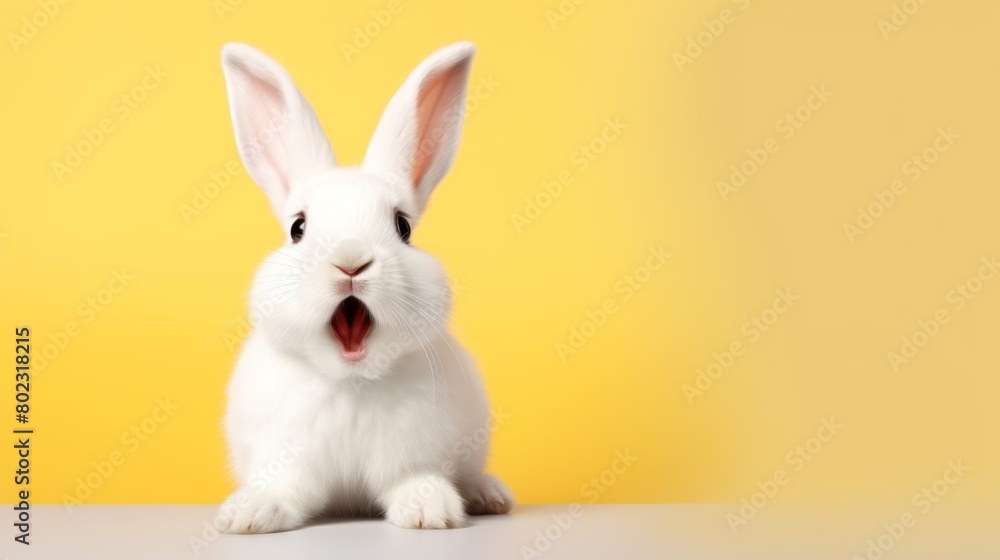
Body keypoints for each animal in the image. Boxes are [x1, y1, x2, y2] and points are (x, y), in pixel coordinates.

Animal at [214, 41, 513, 533]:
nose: (350, 259)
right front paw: (247, 515)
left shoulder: (414, 454)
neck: (350, 381)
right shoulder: (285, 456)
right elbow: (282, 488)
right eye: (298, 228)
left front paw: (430, 512)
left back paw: (490, 495)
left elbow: (414, 479)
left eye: (402, 227)